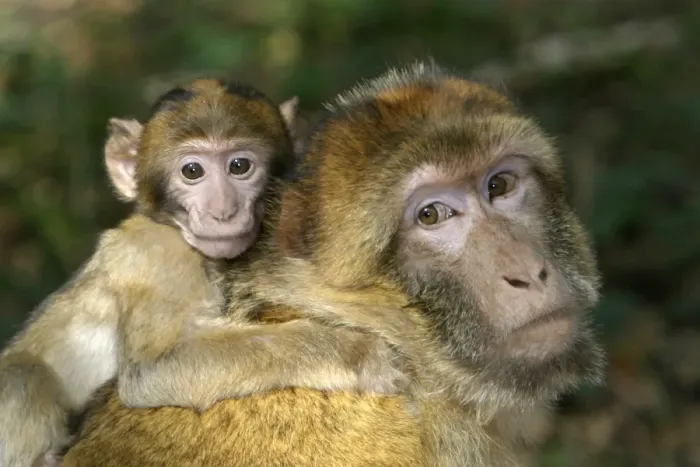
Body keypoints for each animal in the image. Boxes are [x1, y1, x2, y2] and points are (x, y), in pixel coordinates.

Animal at [0, 78, 407, 467]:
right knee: (23, 376)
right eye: (192, 171)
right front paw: (360, 354)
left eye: (240, 166)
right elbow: (153, 370)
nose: (223, 211)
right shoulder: (158, 258)